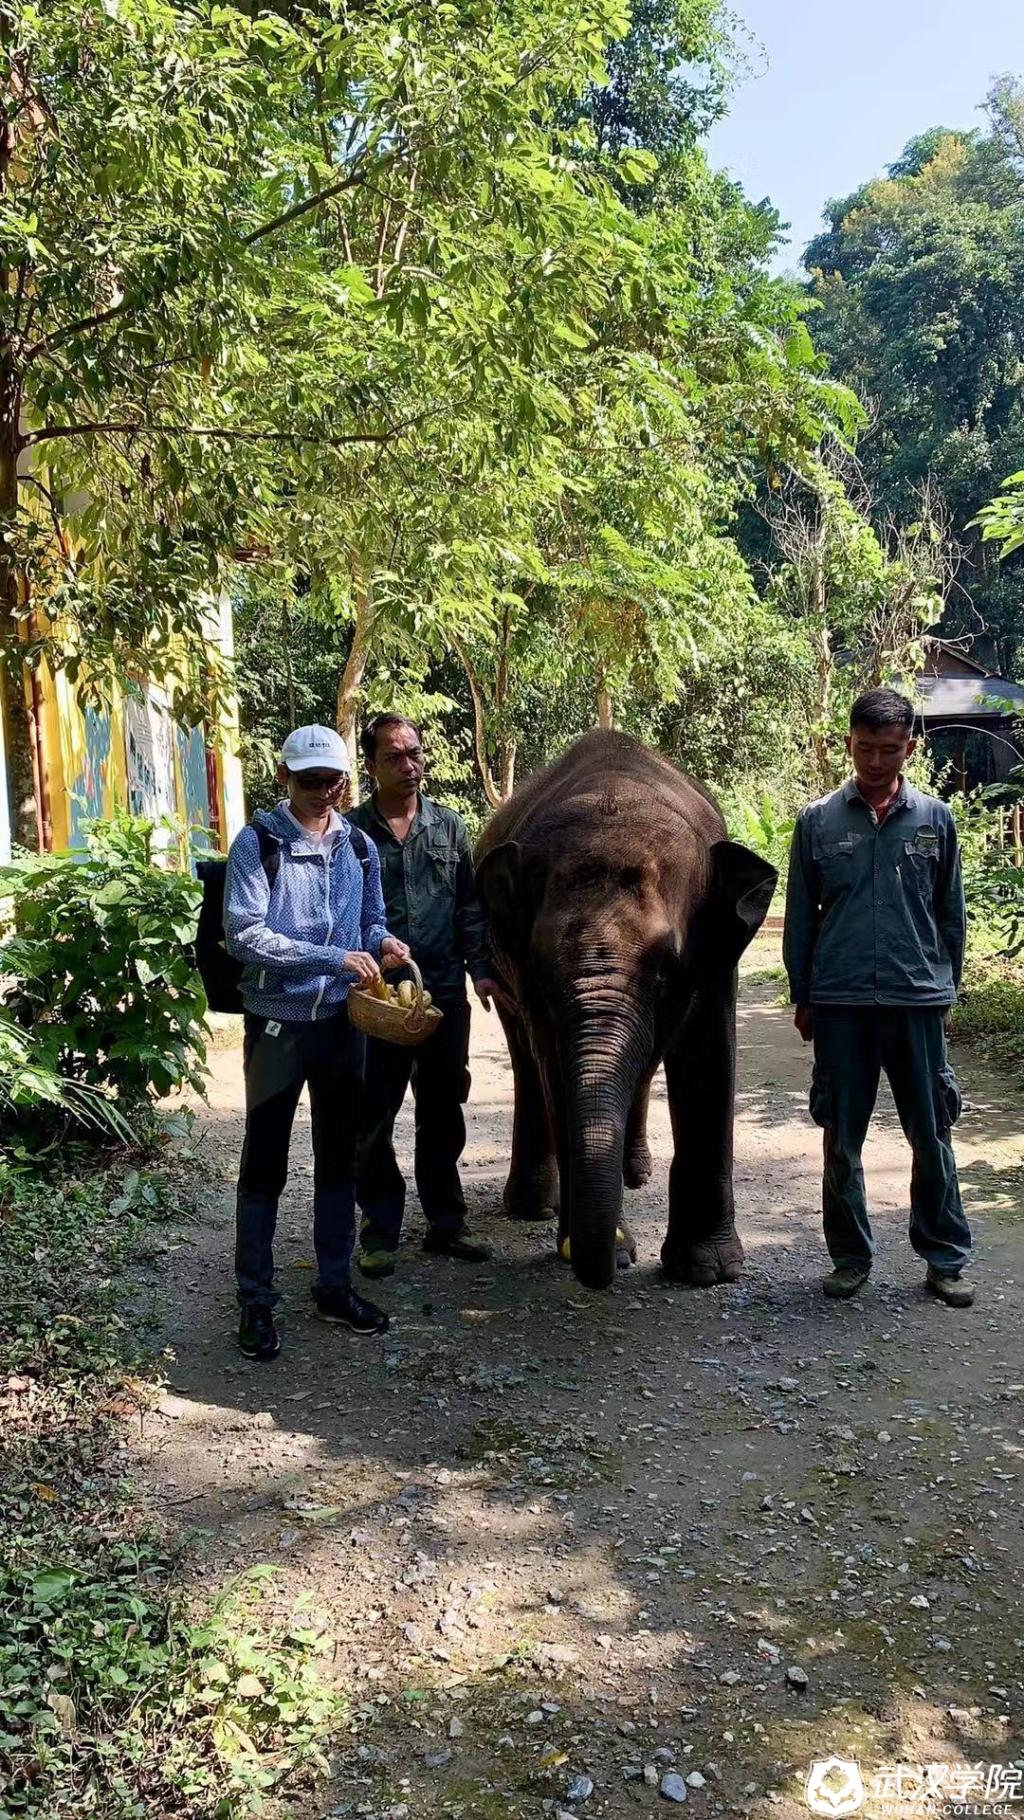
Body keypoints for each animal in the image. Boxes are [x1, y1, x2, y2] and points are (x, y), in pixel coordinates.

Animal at [474, 730, 777, 1291]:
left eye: (665, 968)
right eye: (544, 967)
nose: (603, 1258)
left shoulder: (715, 957)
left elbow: (707, 1057)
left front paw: (706, 1272)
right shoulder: (523, 974)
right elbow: (554, 1068)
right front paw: (609, 1253)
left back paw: (634, 1176)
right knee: (526, 1062)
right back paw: (536, 1208)